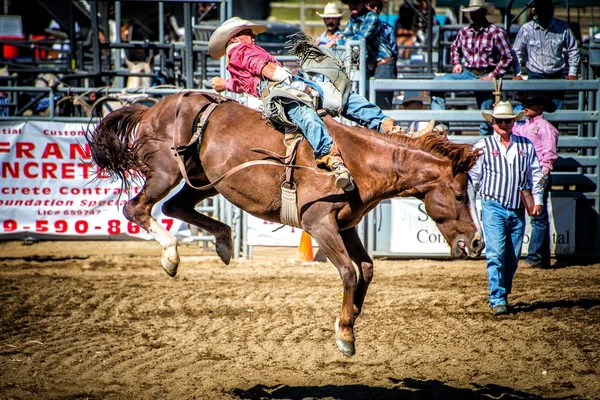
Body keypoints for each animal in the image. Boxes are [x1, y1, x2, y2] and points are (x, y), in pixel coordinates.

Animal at [88, 93, 482, 356]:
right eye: (460, 195)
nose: (477, 243)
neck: (358, 161)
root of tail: (151, 109)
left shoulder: (347, 225)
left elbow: (366, 269)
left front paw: (349, 318)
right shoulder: (319, 224)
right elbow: (349, 272)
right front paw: (345, 336)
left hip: (204, 179)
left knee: (175, 205)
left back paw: (224, 241)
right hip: (166, 172)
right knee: (136, 208)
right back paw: (171, 255)